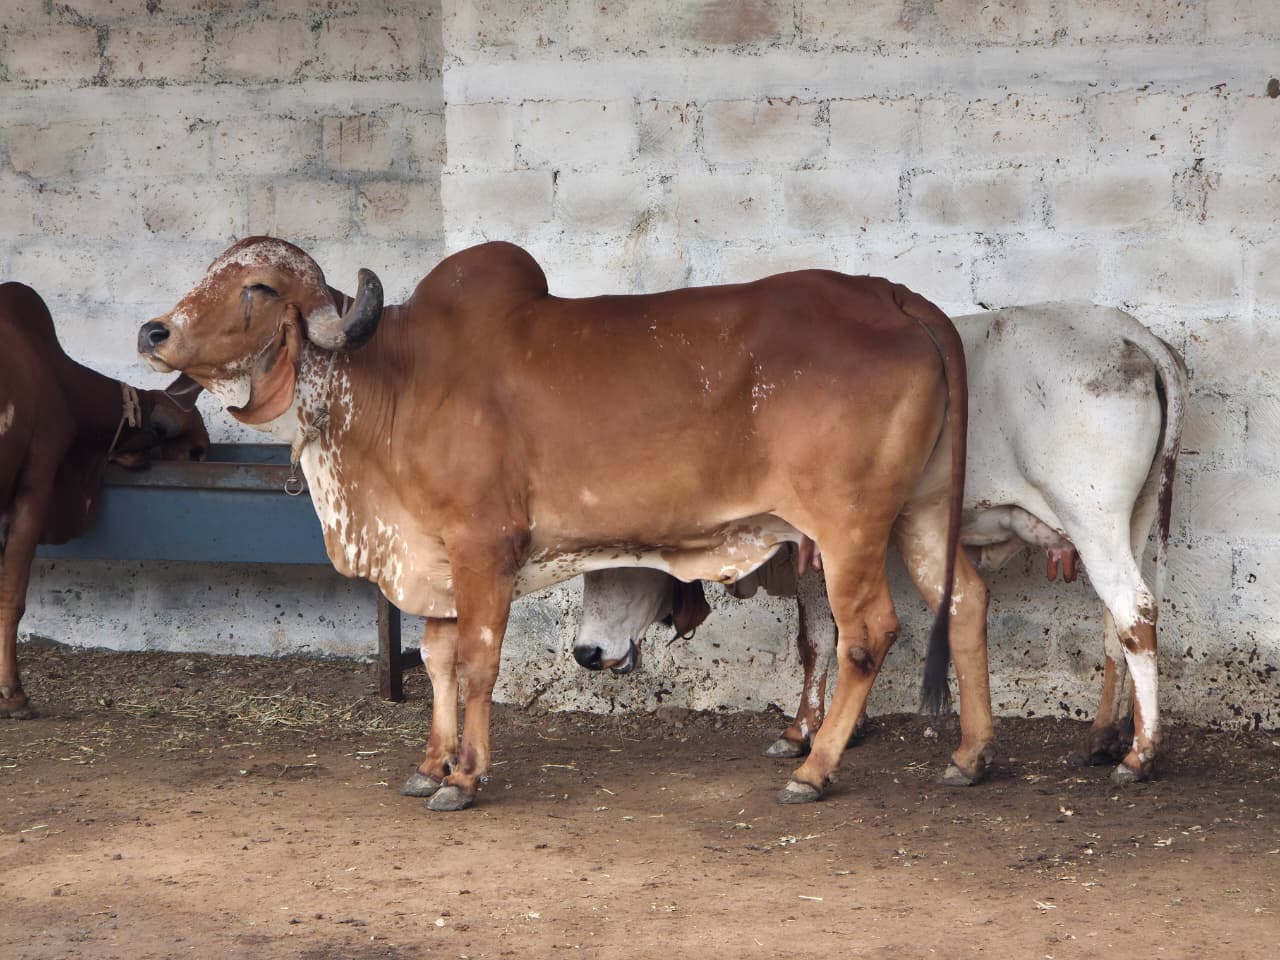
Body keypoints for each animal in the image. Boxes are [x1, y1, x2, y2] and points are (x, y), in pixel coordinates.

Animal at [136, 235, 987, 811]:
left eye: (255, 286)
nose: (154, 332)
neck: (391, 384)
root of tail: (891, 292)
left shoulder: (483, 550)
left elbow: (476, 664)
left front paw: (465, 775)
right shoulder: (433, 561)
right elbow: (436, 661)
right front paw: (430, 763)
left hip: (850, 527)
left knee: (867, 634)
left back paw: (814, 770)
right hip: (922, 512)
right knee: (966, 601)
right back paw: (971, 755)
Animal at [575, 303, 1188, 784]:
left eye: (612, 564)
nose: (586, 653)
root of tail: (1131, 332)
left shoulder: (810, 546)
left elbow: (821, 637)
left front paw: (805, 731)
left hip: (1092, 516)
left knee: (1133, 610)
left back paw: (1138, 756)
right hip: (1128, 520)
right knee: (1116, 623)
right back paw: (1102, 737)